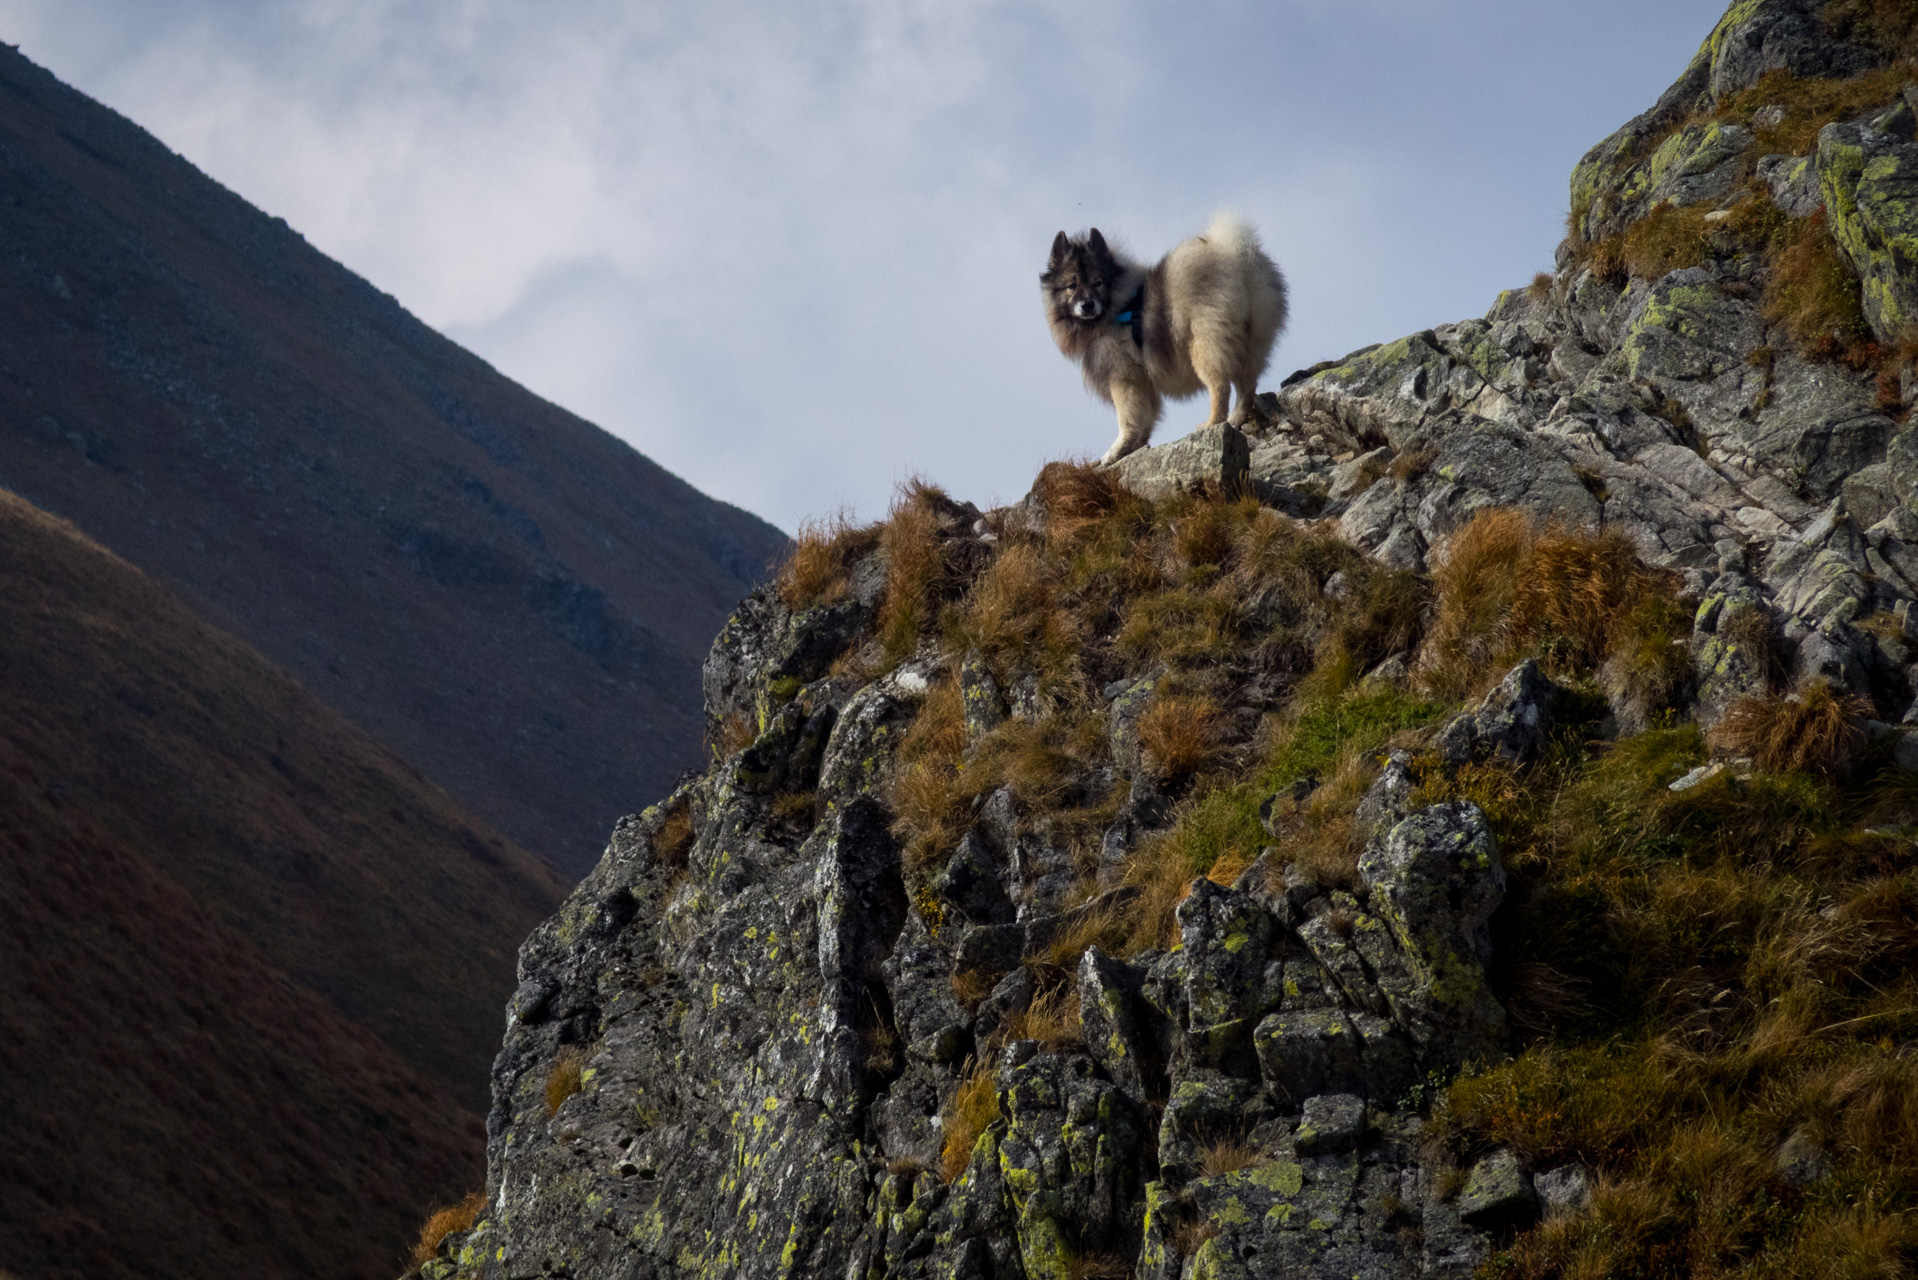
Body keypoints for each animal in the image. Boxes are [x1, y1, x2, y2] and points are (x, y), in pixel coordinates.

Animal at [1035, 213, 1288, 468]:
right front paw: (1136, 445)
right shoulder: (1142, 380)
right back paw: (1235, 419)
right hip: (1250, 342)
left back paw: (1212, 423)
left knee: (1220, 385)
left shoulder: (1124, 376)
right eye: (1072, 286)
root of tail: (1237, 258)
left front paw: (1117, 450)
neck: (1116, 306)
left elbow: (1127, 417)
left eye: (1098, 282)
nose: (1087, 305)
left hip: (1204, 345)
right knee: (1246, 386)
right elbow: (1144, 417)